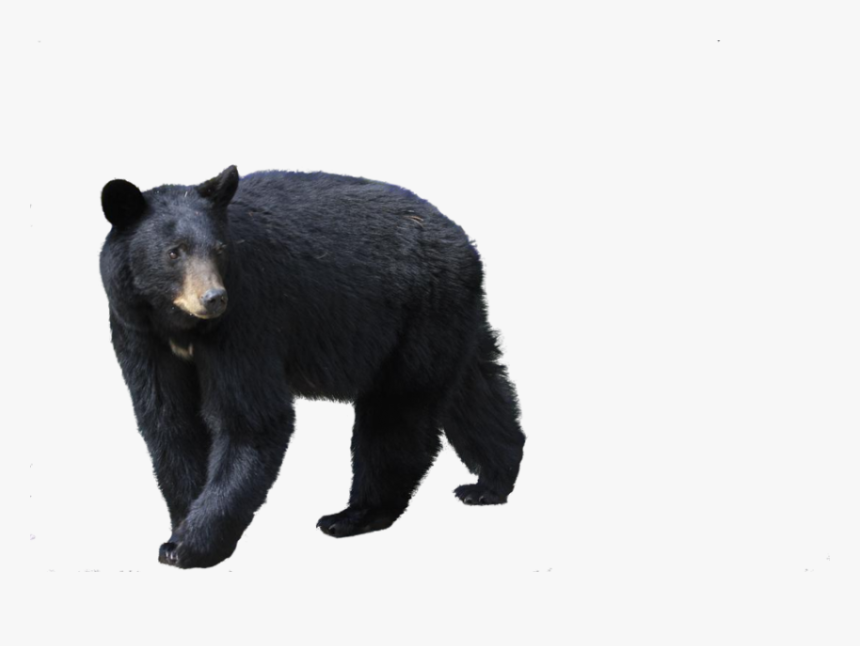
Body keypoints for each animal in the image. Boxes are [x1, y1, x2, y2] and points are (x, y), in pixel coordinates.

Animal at [100, 166, 525, 568]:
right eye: (174, 252)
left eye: (219, 248)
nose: (213, 298)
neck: (181, 326)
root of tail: (464, 242)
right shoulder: (138, 332)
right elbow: (169, 421)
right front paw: (180, 526)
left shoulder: (247, 317)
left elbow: (250, 420)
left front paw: (190, 545)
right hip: (452, 318)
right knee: (475, 390)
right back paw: (491, 482)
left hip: (418, 317)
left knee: (396, 415)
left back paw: (354, 515)